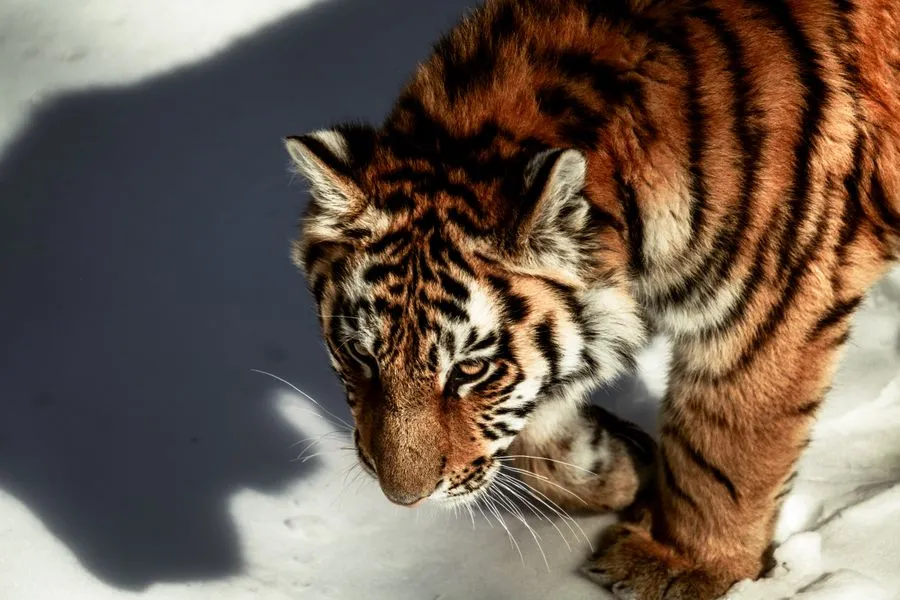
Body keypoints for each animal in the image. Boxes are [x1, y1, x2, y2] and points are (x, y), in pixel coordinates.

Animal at [283, 0, 900, 597]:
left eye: (471, 370)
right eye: (360, 356)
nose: (403, 498)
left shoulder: (770, 306)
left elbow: (724, 452)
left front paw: (680, 566)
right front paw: (617, 472)